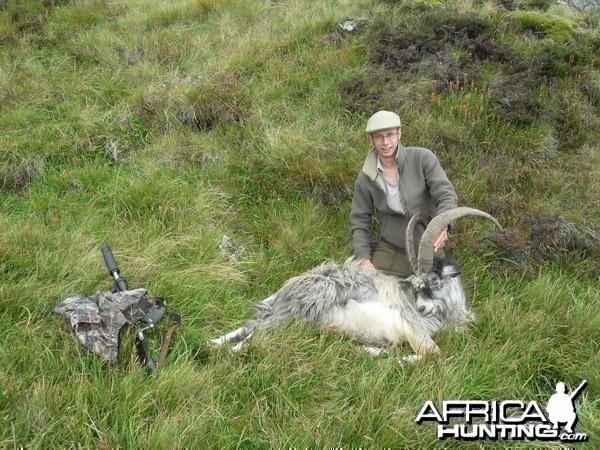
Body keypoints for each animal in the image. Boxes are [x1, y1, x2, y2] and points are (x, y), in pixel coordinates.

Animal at [209, 207, 500, 358]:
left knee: (250, 325)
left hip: (291, 317)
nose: (420, 309)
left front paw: (371, 350)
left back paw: (215, 343)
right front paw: (390, 356)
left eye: (434, 280)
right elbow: (435, 354)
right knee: (257, 332)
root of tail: (289, 288)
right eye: (417, 284)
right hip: (301, 308)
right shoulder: (414, 331)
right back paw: (233, 349)